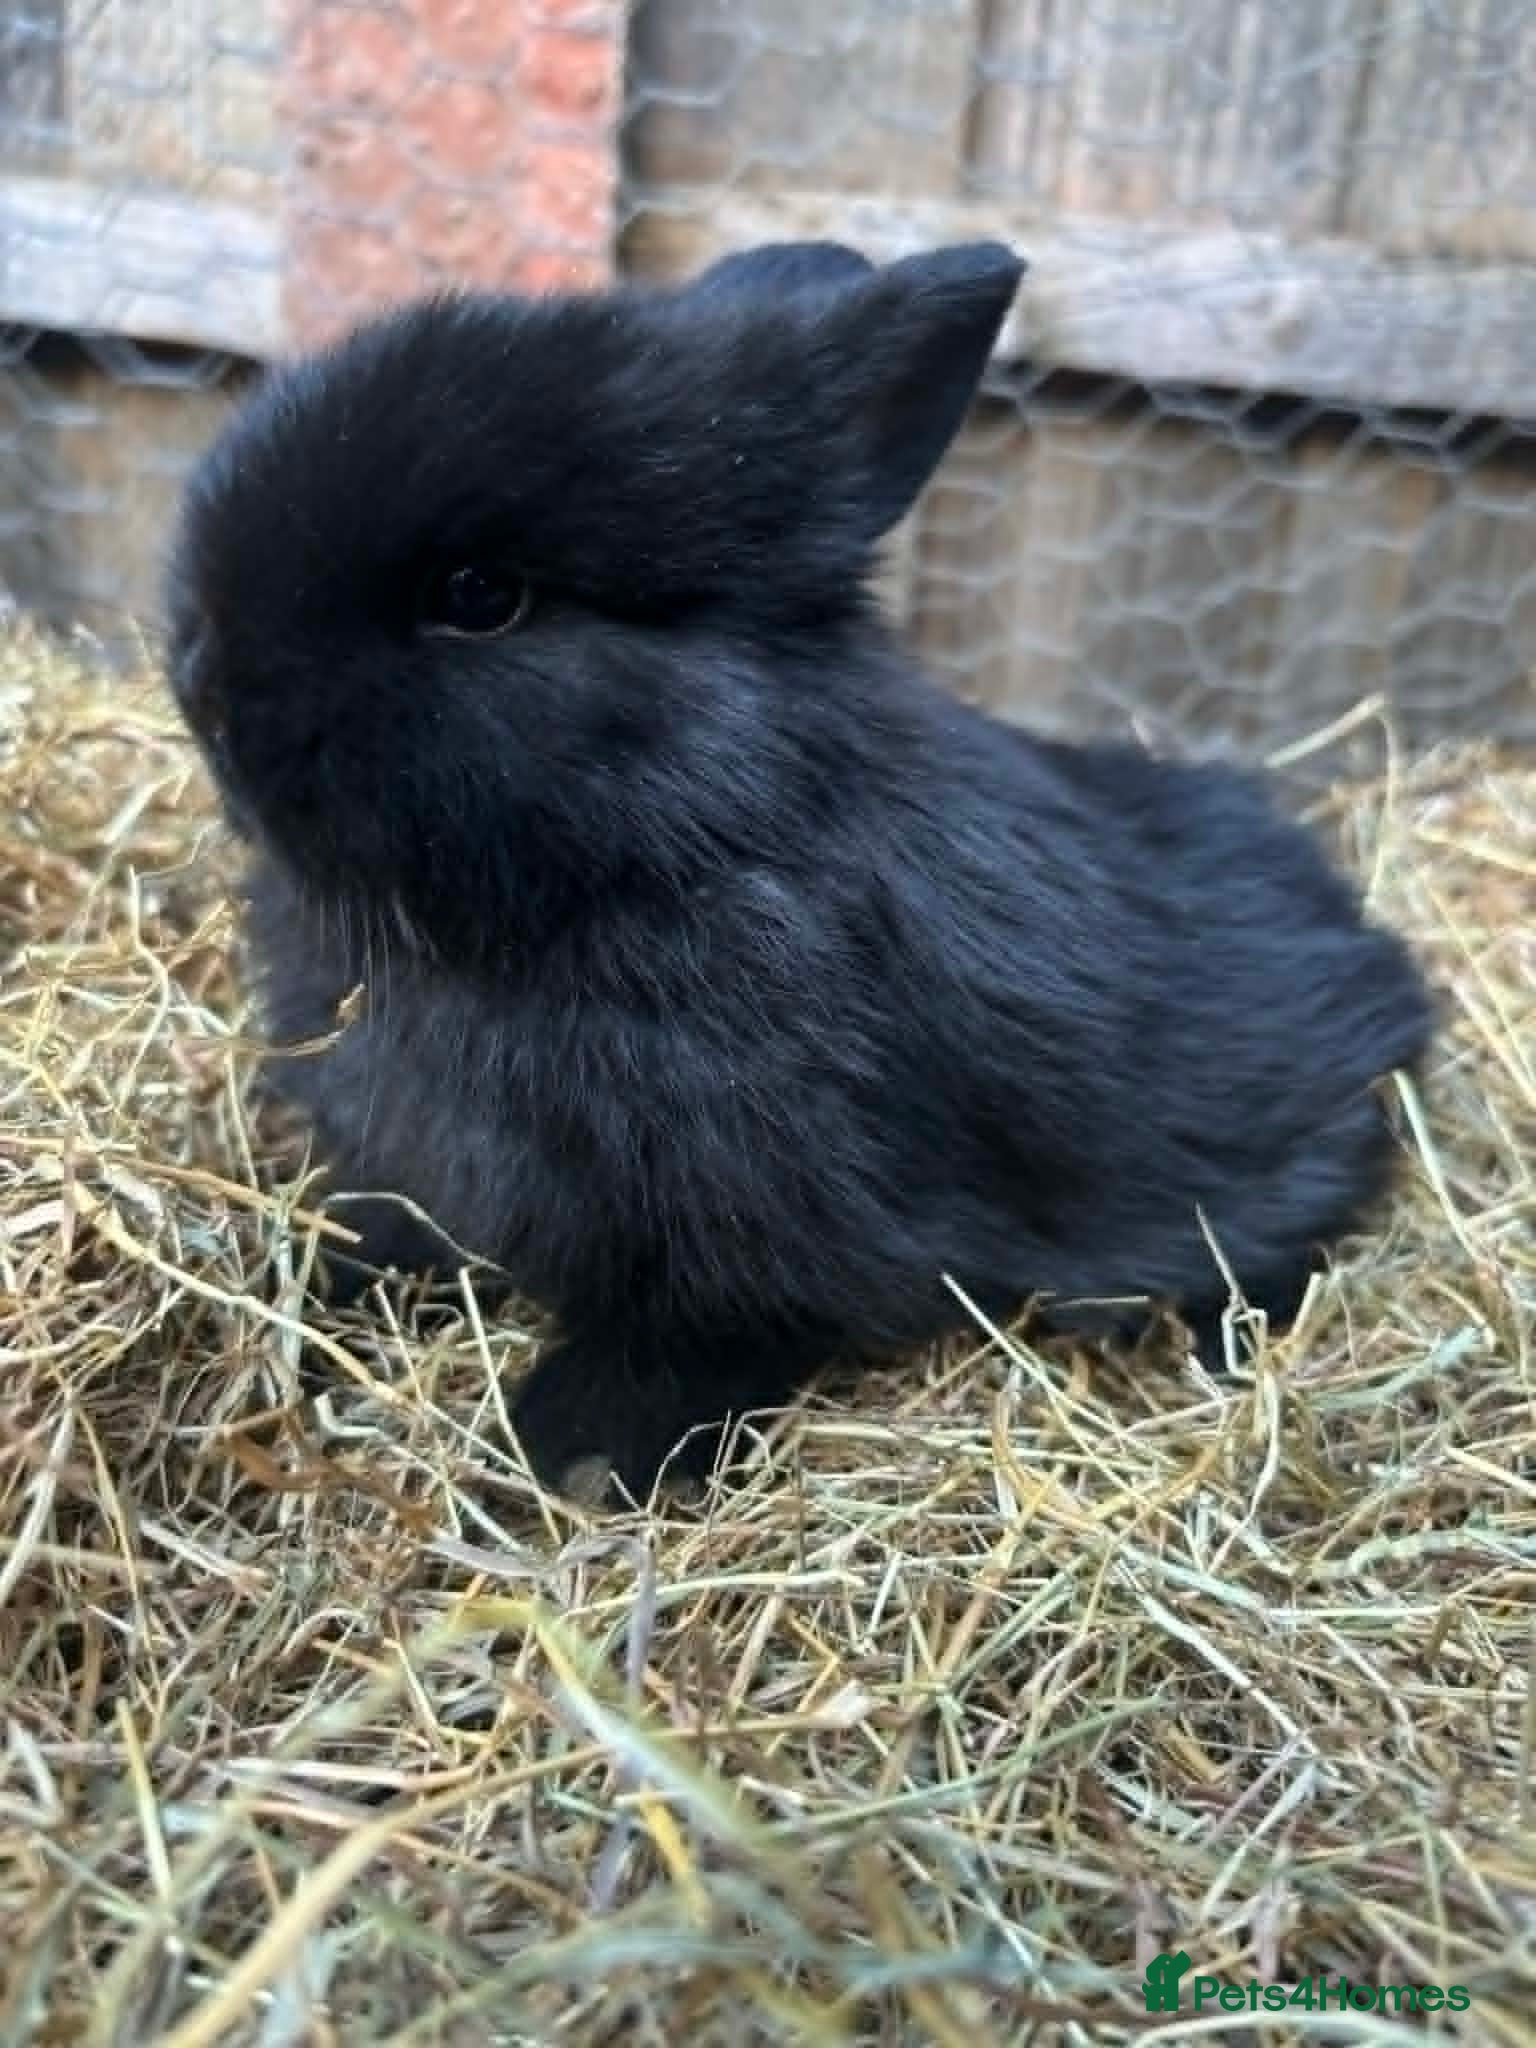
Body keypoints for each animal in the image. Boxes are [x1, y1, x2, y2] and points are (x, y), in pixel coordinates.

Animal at [165, 238, 1434, 1500]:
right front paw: (304, 1287)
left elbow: (708, 1333)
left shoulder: (760, 1229)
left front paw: (566, 1449)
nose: (205, 689)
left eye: (479, 595)